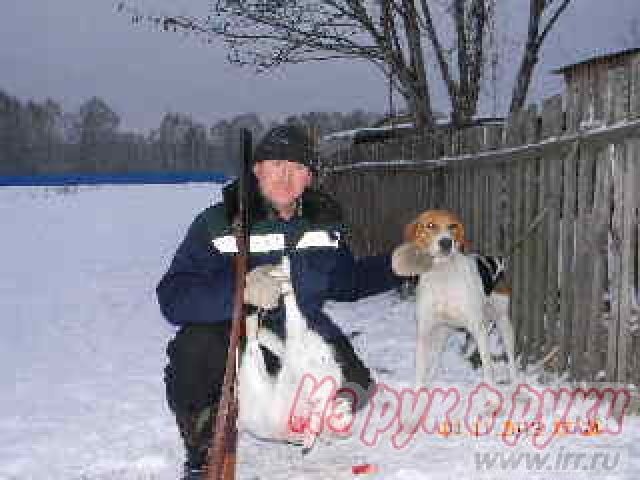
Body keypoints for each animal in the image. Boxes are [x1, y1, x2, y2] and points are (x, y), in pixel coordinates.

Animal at [390, 209, 520, 386]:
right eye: (430, 225)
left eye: (453, 226)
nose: (446, 242)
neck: (442, 275)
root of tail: (494, 260)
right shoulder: (424, 331)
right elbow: (420, 373)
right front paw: (421, 389)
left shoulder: (479, 330)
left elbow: (488, 371)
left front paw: (491, 393)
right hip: (445, 329)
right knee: (438, 356)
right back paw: (432, 378)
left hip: (503, 322)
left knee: (511, 358)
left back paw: (515, 384)